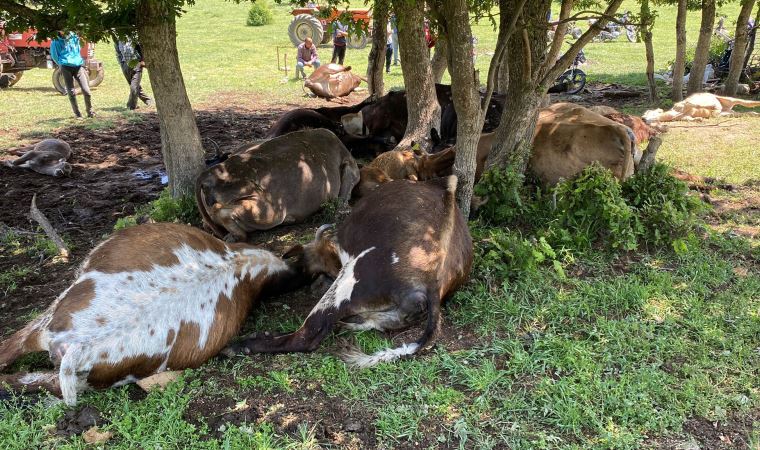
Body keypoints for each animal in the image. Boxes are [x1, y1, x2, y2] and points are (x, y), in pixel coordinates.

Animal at [224, 174, 476, 368]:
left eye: (309, 269)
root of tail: (432, 280)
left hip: (348, 282)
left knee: (308, 335)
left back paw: (240, 345)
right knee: (376, 323)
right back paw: (349, 323)